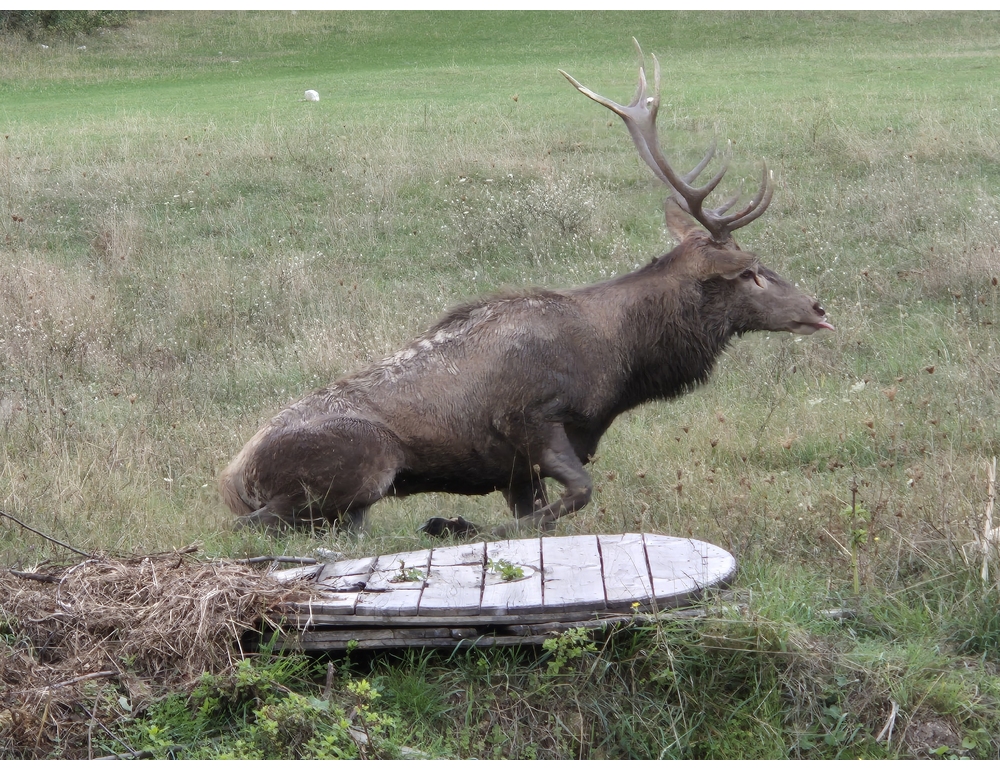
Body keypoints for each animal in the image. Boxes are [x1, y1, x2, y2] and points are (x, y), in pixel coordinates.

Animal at [220, 42, 833, 540]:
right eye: (751, 271)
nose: (818, 308)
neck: (618, 367)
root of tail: (231, 478)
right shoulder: (530, 417)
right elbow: (577, 494)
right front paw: (454, 522)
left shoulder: (515, 466)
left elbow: (546, 511)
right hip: (364, 462)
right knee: (252, 525)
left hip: (351, 502)